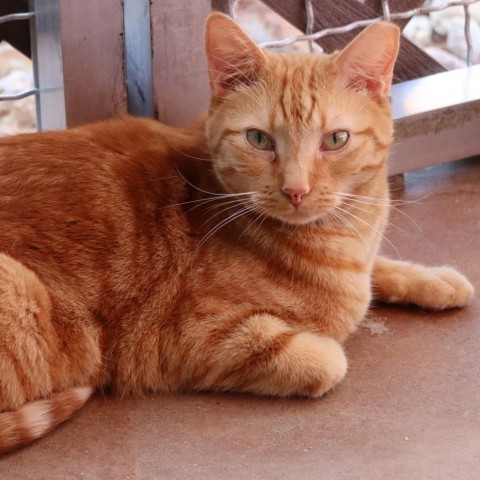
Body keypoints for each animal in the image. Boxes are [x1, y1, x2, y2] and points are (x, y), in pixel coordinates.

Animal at [0, 13, 472, 452]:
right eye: (259, 139)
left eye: (336, 139)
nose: (296, 190)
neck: (342, 241)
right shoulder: (189, 338)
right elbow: (330, 360)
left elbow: (381, 271)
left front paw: (435, 279)